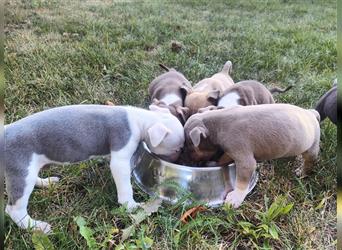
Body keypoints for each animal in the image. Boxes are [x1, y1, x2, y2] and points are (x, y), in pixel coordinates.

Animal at [3, 103, 184, 232]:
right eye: (177, 149)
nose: (182, 157)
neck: (140, 119)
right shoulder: (120, 154)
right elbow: (125, 184)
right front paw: (130, 205)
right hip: (20, 170)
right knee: (14, 209)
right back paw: (36, 226)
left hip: (27, 170)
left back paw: (46, 182)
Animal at [184, 103, 320, 207]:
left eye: (189, 147)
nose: (187, 161)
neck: (216, 121)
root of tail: (311, 113)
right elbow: (224, 158)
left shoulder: (244, 160)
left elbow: (241, 181)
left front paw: (236, 197)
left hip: (312, 148)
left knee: (309, 162)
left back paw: (303, 172)